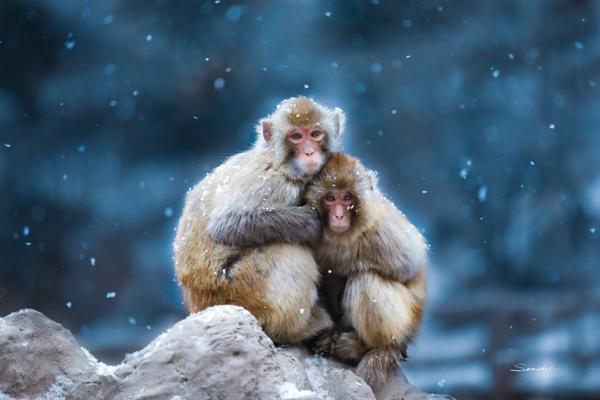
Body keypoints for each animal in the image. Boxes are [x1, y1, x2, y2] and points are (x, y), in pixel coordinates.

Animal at [308, 153, 428, 390]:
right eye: (330, 198)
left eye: (347, 197)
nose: (338, 216)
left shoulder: (383, 230)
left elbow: (408, 266)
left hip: (406, 319)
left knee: (365, 279)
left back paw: (367, 346)